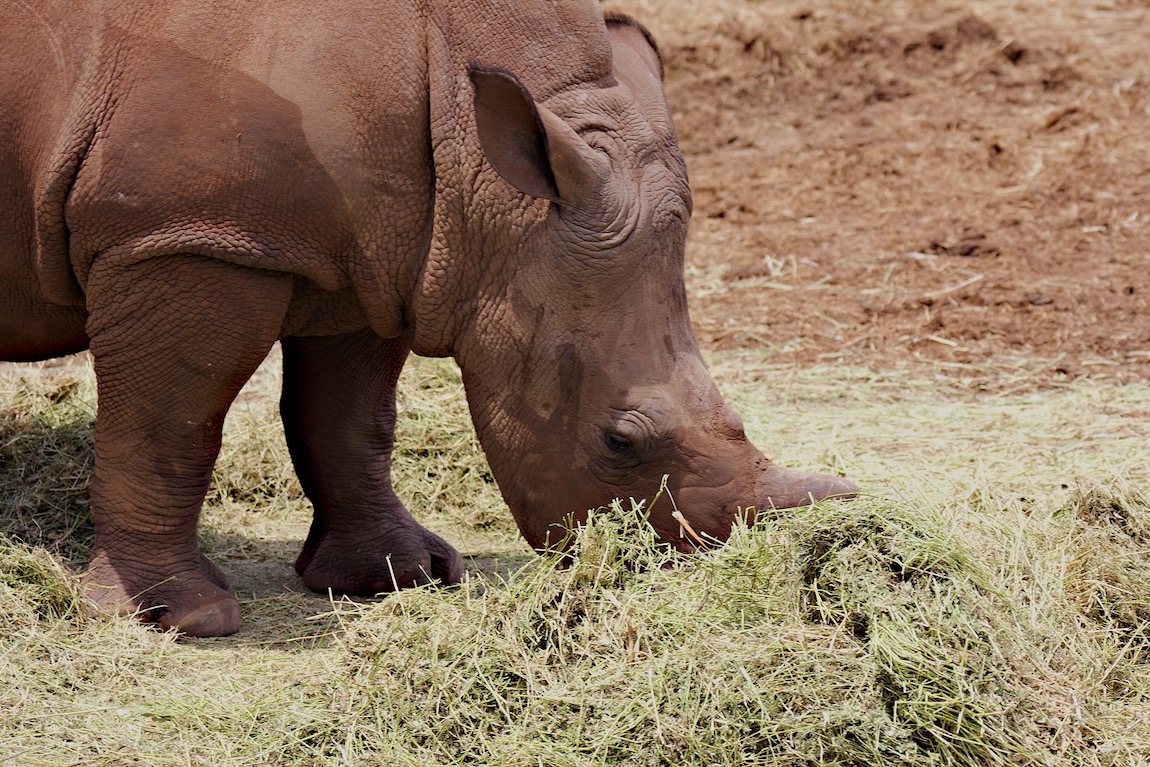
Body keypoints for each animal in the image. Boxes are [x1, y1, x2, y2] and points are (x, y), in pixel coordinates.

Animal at [0, 0, 856, 636]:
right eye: (620, 440)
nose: (680, 569)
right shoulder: (187, 238)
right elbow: (170, 425)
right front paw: (176, 617)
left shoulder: (376, 253)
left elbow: (350, 419)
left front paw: (396, 577)